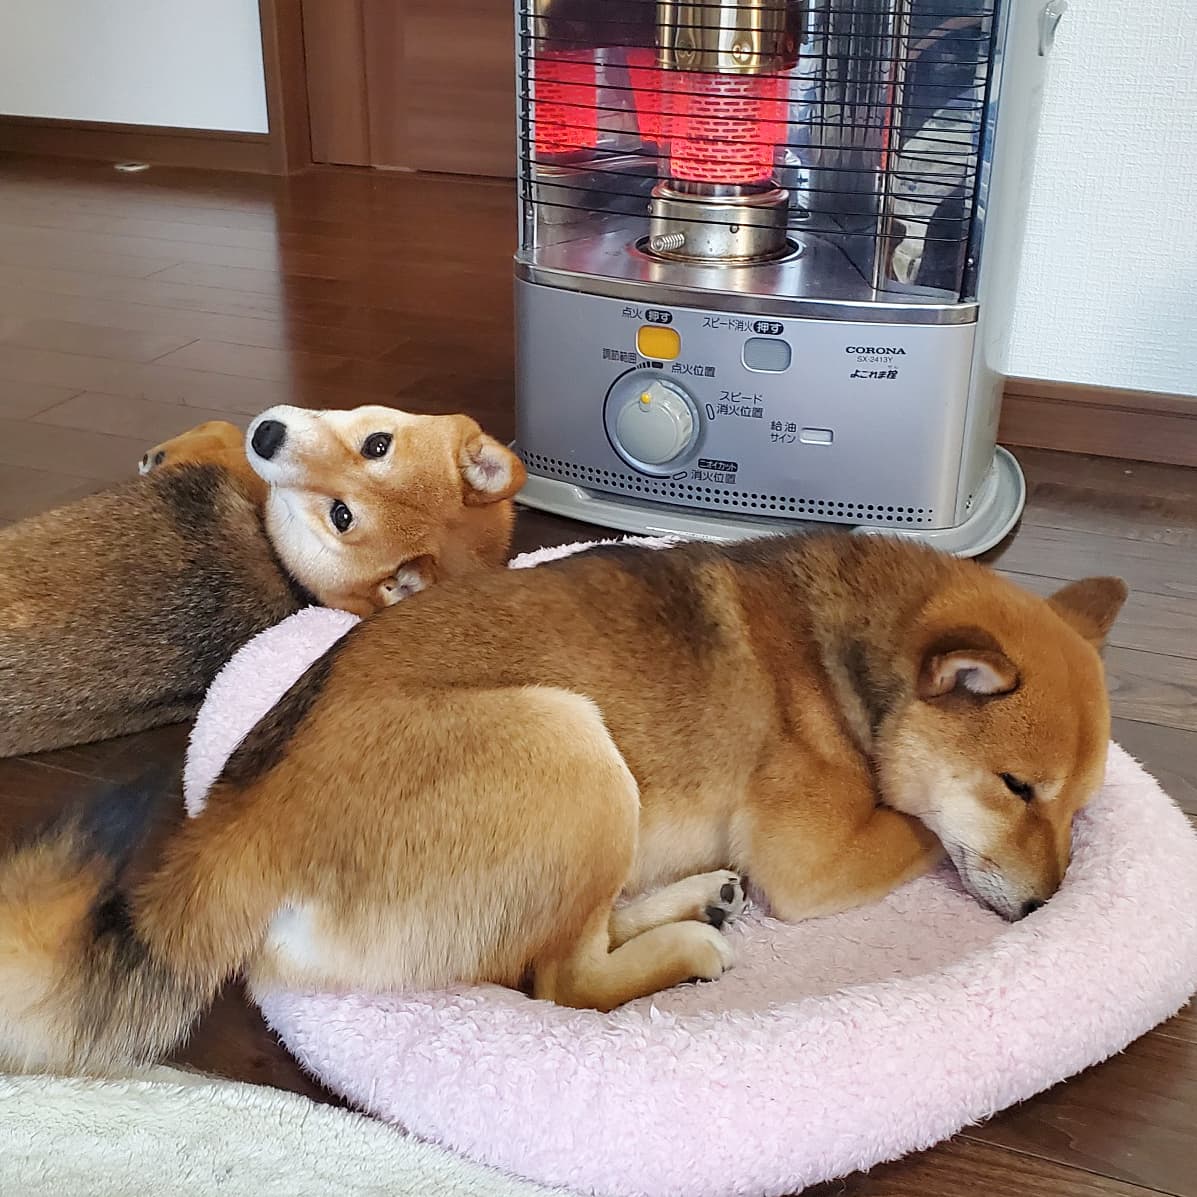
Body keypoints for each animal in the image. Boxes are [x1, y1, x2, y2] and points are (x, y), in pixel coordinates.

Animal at [0, 532, 1125, 1072]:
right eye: (1016, 788)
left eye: (1077, 805)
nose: (1048, 908)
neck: (856, 664)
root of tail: (230, 831)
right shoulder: (815, 864)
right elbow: (923, 833)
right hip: (571, 746)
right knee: (559, 979)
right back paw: (688, 943)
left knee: (568, 940)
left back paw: (695, 899)